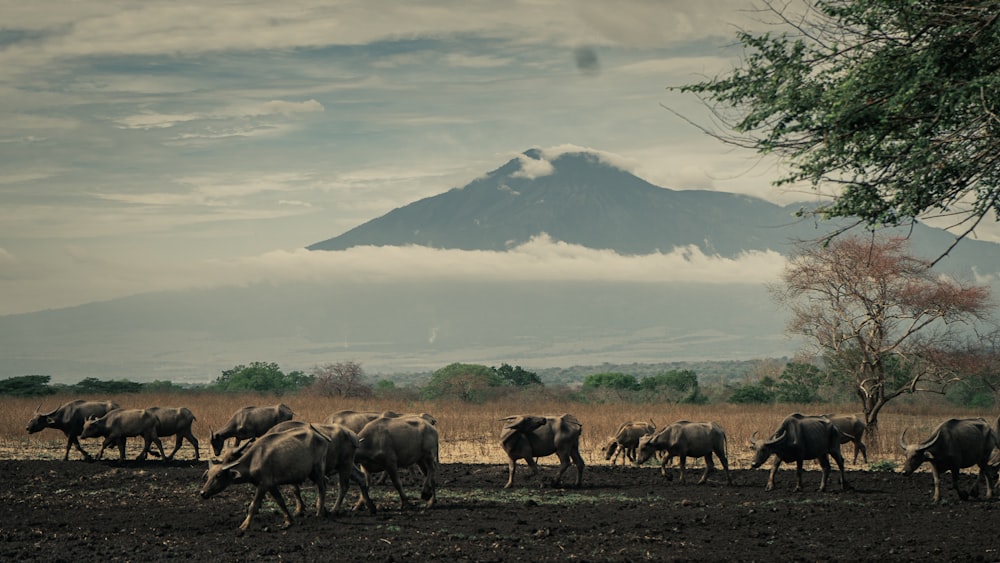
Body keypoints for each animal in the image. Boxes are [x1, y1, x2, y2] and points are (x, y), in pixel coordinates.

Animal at [201, 424, 330, 532]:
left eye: (218, 476)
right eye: (208, 476)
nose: (203, 492)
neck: (254, 460)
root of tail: (321, 436)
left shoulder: (263, 484)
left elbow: (253, 505)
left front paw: (245, 525)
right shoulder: (271, 485)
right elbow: (280, 501)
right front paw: (289, 521)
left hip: (317, 469)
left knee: (322, 488)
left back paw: (319, 513)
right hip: (312, 473)